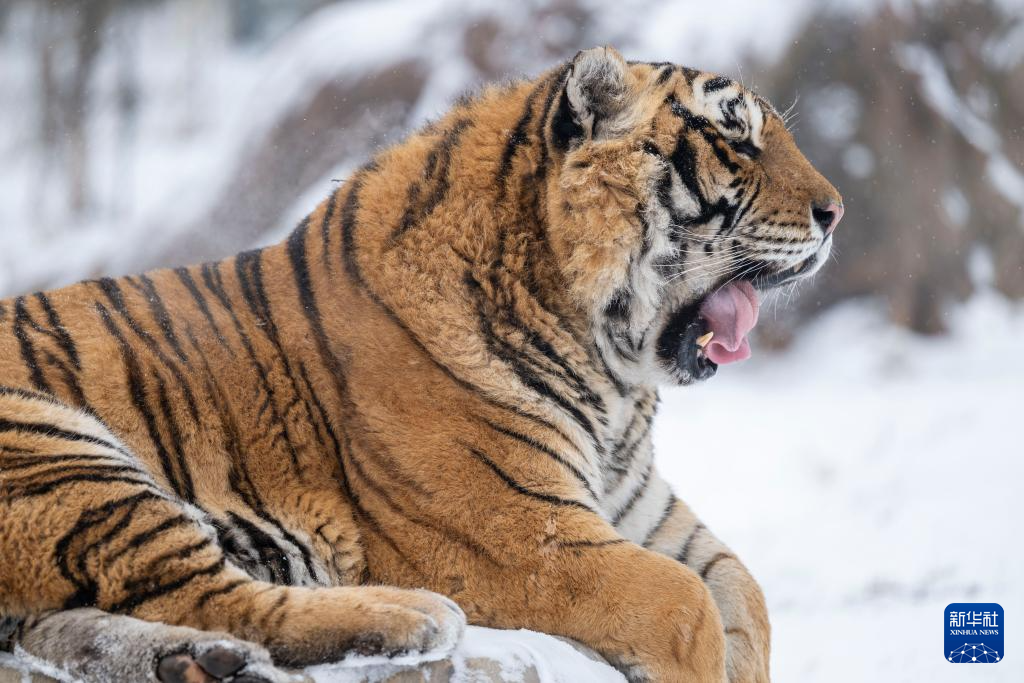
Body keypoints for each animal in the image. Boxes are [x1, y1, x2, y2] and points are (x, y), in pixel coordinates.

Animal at [0, 46, 842, 683]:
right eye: (737, 139)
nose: (836, 213)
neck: (616, 383)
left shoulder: (640, 513)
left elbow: (743, 591)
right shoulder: (518, 535)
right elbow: (684, 602)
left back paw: (198, 660)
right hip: (60, 445)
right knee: (205, 591)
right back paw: (408, 613)